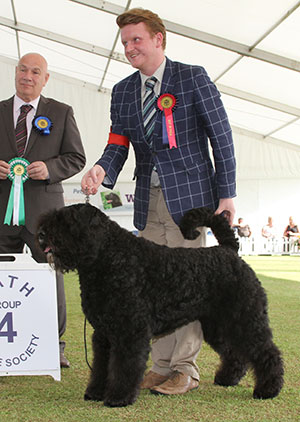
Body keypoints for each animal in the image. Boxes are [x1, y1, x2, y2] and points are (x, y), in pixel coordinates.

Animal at [36, 203, 282, 408]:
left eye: (67, 221)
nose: (41, 235)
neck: (109, 257)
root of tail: (229, 250)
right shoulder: (104, 334)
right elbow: (101, 366)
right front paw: (95, 392)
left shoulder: (130, 332)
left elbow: (124, 367)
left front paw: (118, 398)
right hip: (218, 325)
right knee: (234, 352)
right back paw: (227, 378)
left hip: (245, 318)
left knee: (267, 351)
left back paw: (268, 389)